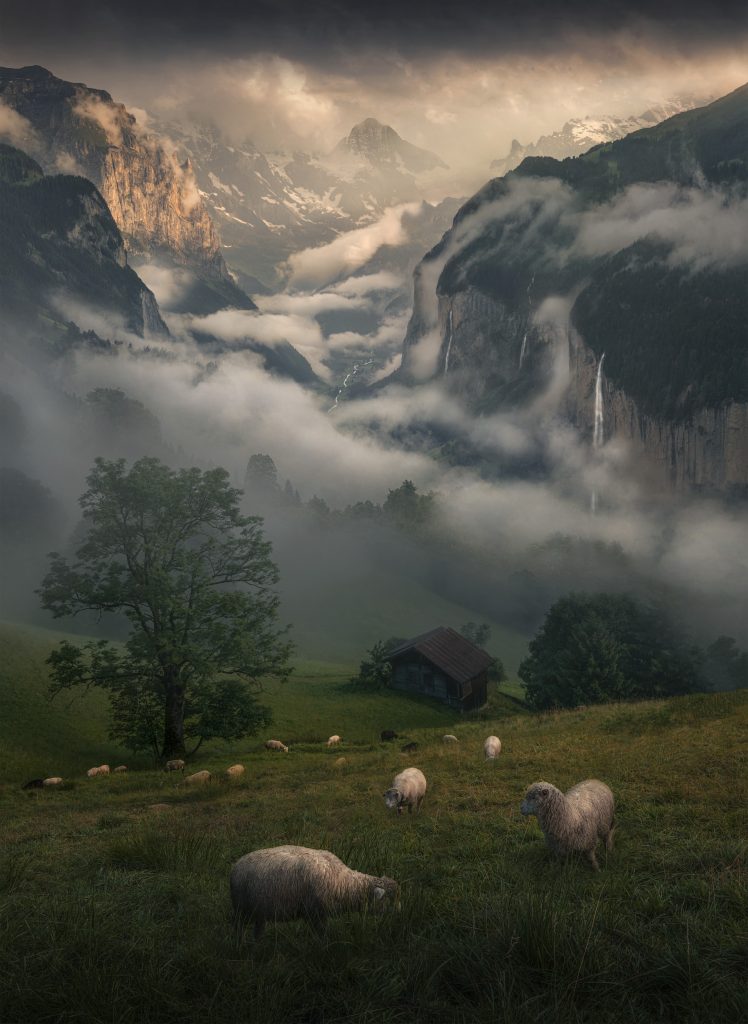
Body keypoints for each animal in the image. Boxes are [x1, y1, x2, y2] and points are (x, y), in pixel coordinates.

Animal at [230, 843, 399, 937]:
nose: (398, 915)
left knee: (258, 930)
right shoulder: (315, 913)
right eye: (388, 900)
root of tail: (237, 864)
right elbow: (321, 935)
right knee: (238, 929)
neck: (344, 883)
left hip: (259, 912)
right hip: (240, 910)